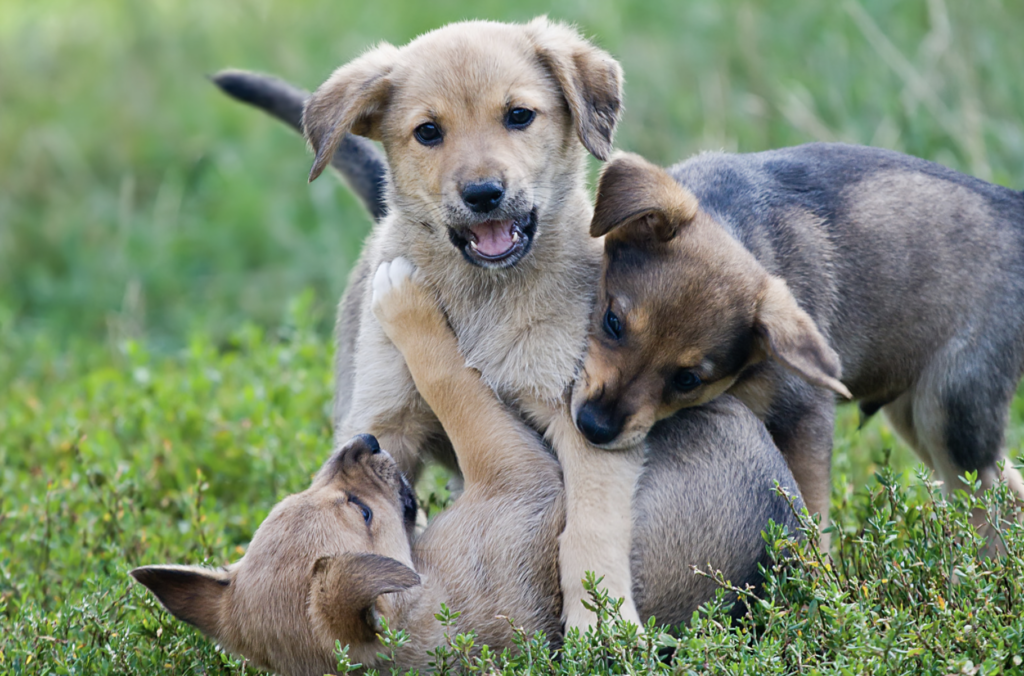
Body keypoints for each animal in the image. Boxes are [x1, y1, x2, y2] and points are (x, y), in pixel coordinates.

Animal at [130, 259, 798, 676]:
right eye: (362, 511)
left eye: (303, 498)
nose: (362, 444)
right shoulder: (518, 475)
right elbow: (452, 380)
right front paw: (404, 302)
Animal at [573, 145, 1024, 536]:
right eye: (612, 323)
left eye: (687, 380)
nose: (594, 427)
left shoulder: (806, 422)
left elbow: (812, 519)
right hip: (915, 414)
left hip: (949, 414)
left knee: (991, 507)